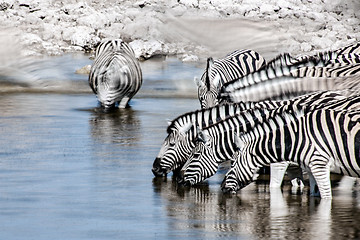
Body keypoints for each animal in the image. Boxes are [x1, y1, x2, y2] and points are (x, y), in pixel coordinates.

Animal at [221, 107, 360, 199]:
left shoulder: (319, 165)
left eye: (232, 163)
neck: (298, 138)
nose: (221, 187)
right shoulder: (312, 169)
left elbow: (326, 198)